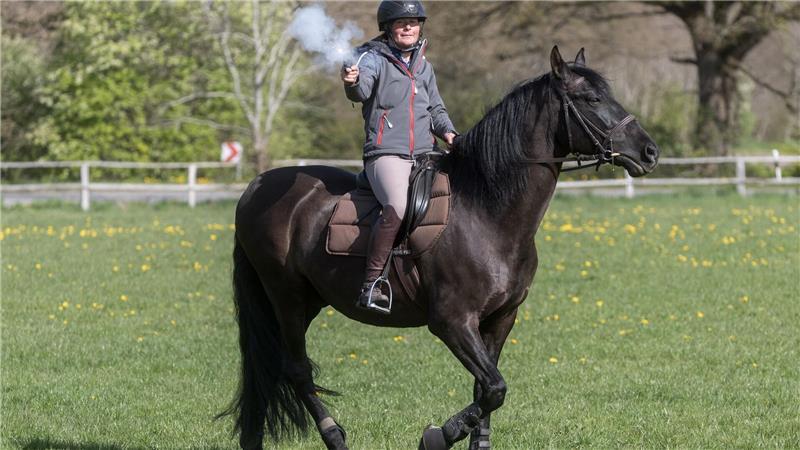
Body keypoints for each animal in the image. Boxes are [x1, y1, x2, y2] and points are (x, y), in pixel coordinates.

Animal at [219, 46, 659, 450]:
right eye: (590, 99)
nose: (650, 152)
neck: (484, 209)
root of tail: (256, 186)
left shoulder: (500, 319)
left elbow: (486, 391)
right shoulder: (452, 322)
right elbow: (495, 388)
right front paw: (437, 435)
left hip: (309, 299)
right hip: (286, 297)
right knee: (296, 368)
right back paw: (335, 437)